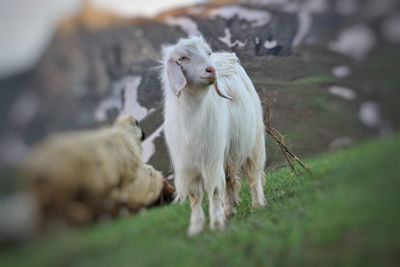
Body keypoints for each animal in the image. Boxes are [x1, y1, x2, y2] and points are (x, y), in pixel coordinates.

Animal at [161, 35, 268, 237]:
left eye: (207, 53)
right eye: (183, 58)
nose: (211, 70)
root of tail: (226, 58)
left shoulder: (211, 157)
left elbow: (215, 189)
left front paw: (217, 221)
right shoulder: (187, 163)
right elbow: (195, 195)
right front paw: (196, 226)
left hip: (254, 141)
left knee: (253, 174)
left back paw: (257, 203)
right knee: (230, 178)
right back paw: (230, 209)